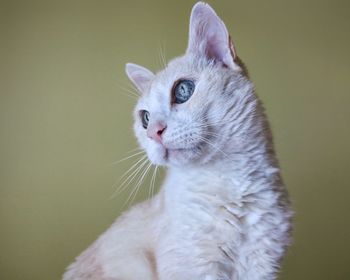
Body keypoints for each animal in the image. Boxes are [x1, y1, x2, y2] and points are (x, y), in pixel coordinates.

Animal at [63, 2, 292, 280]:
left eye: (183, 90)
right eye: (145, 118)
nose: (154, 132)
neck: (230, 182)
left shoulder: (261, 267)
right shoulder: (197, 268)